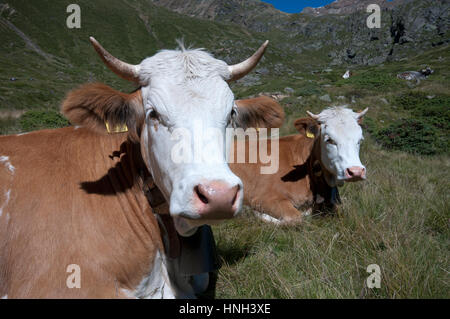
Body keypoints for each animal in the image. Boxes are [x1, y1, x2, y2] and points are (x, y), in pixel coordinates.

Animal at [230, 107, 368, 225]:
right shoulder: (262, 197)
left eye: (360, 140)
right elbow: (295, 218)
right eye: (329, 140)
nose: (356, 171)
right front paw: (257, 214)